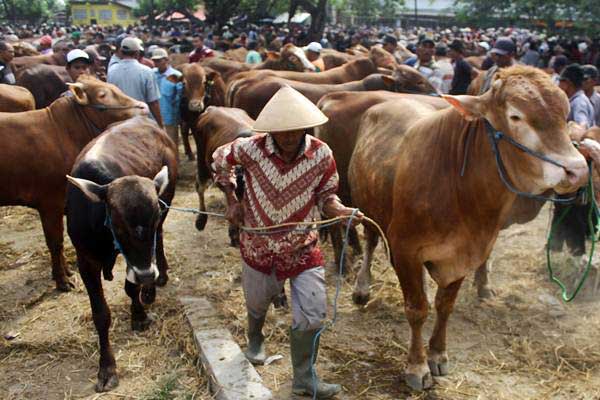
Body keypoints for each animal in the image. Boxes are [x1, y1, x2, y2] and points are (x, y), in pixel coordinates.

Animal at [0, 76, 149, 290]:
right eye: (102, 94)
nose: (144, 106)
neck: (62, 132)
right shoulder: (50, 203)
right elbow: (55, 242)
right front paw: (62, 280)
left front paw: (66, 273)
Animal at [346, 66, 584, 390]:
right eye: (516, 116)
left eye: (564, 111)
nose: (578, 170)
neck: (460, 189)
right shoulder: (404, 249)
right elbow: (417, 309)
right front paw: (417, 365)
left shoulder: (466, 253)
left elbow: (444, 305)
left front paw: (437, 354)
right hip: (367, 206)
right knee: (370, 242)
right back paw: (362, 289)